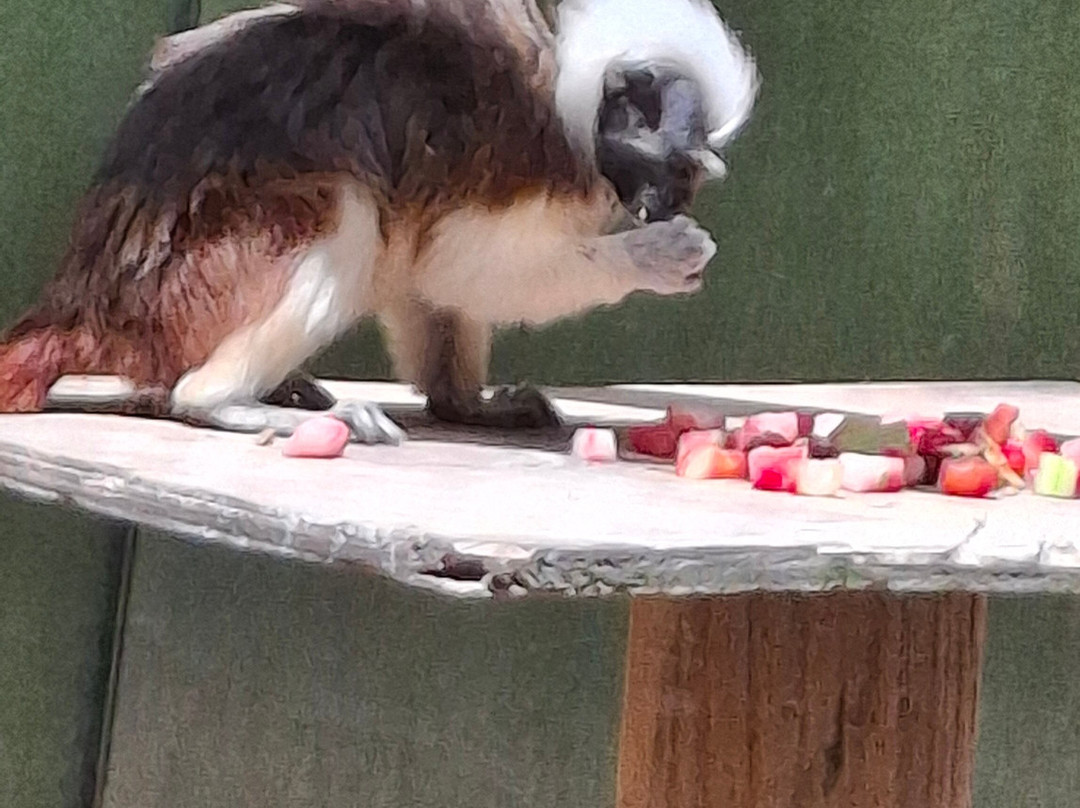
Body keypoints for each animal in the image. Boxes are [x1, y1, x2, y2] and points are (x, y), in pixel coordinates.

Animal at [0, 0, 758, 444]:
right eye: (675, 170)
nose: (664, 206)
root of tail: (89, 306)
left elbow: (431, 272)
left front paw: (461, 403)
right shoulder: (512, 142)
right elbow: (465, 266)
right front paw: (656, 256)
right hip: (190, 287)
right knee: (348, 219)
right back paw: (220, 401)